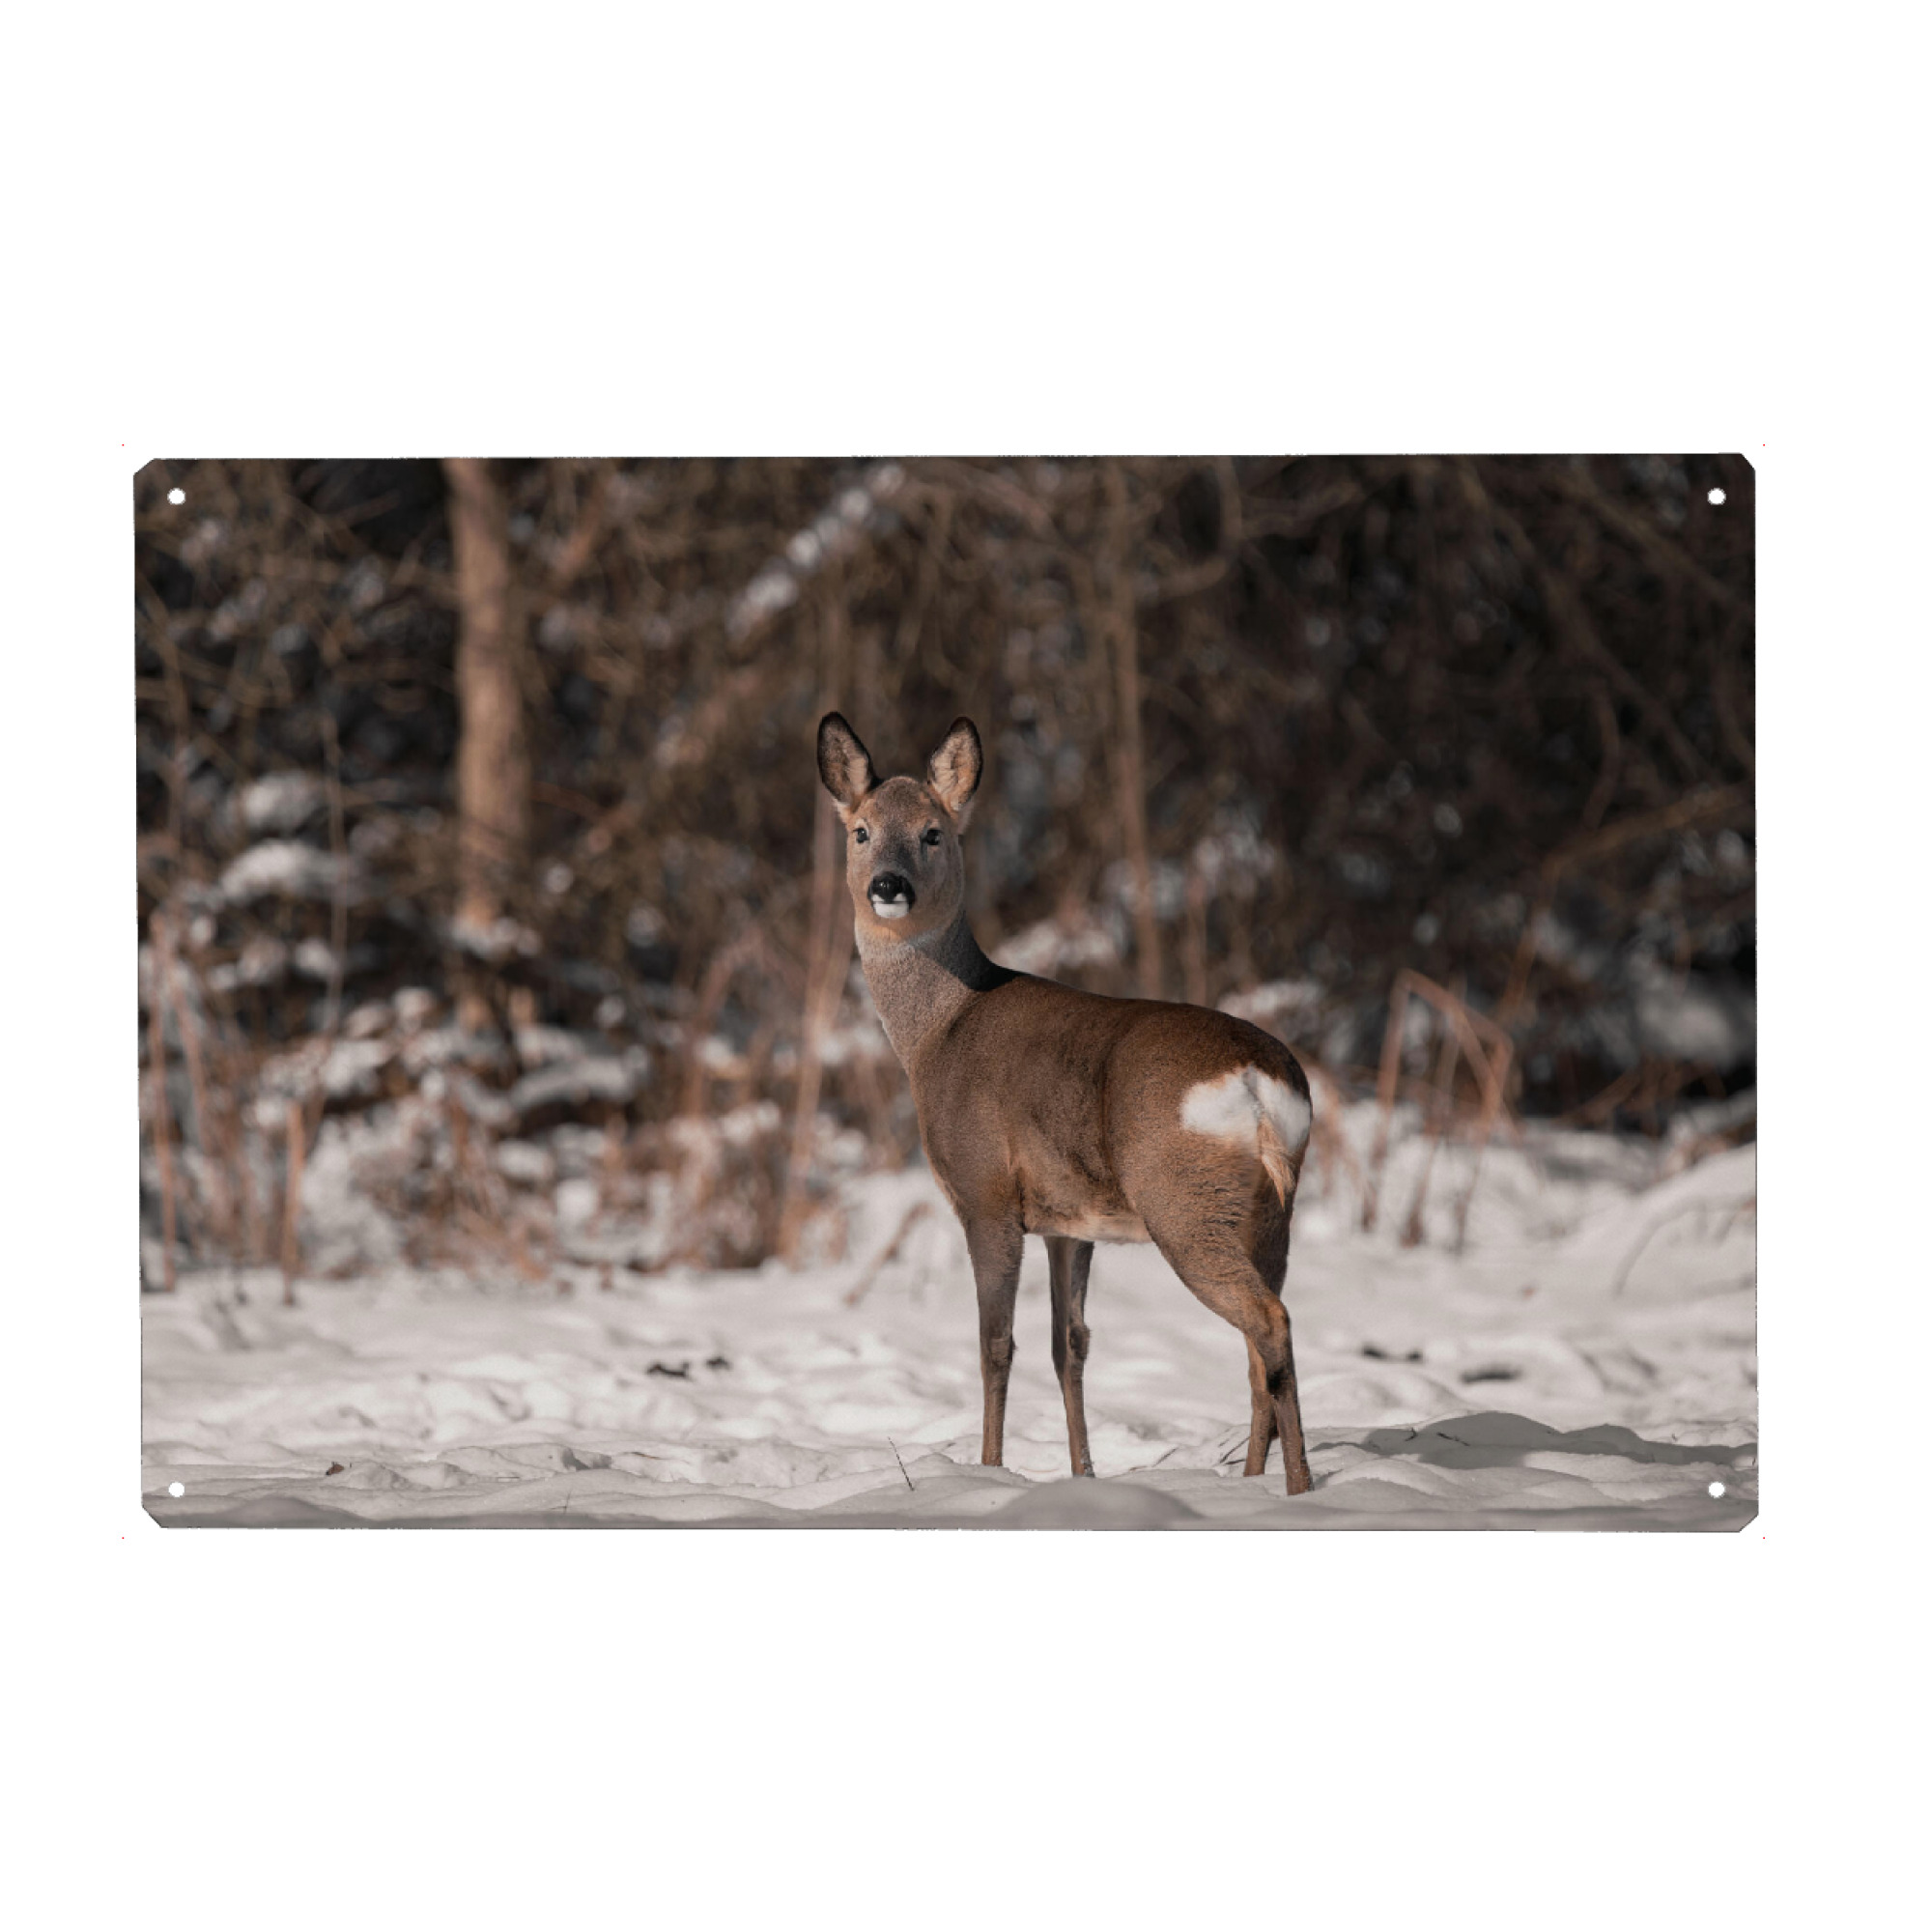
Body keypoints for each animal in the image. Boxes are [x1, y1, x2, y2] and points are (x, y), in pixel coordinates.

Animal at [817, 711, 1317, 1496]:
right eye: (862, 830)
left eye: (934, 833)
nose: (888, 886)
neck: (938, 1032)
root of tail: (1259, 1081)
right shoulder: (1068, 1222)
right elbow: (1069, 1344)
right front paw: (1083, 1475)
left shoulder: (986, 1194)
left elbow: (995, 1343)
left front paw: (990, 1470)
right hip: (1269, 1214)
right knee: (1257, 1341)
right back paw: (1254, 1479)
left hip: (1182, 1201)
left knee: (1268, 1321)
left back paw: (1295, 1488)